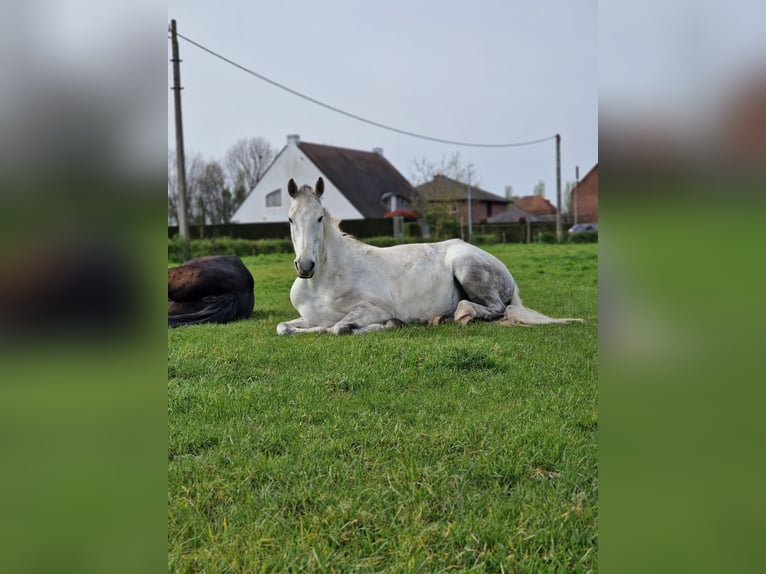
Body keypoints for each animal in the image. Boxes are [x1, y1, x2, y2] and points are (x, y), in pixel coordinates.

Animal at [276, 178, 582, 335]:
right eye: (290, 219)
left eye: (319, 218)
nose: (305, 266)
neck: (324, 281)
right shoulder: (306, 317)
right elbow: (284, 327)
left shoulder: (374, 308)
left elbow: (338, 327)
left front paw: (390, 324)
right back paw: (441, 318)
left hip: (465, 265)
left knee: (497, 308)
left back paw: (463, 313)